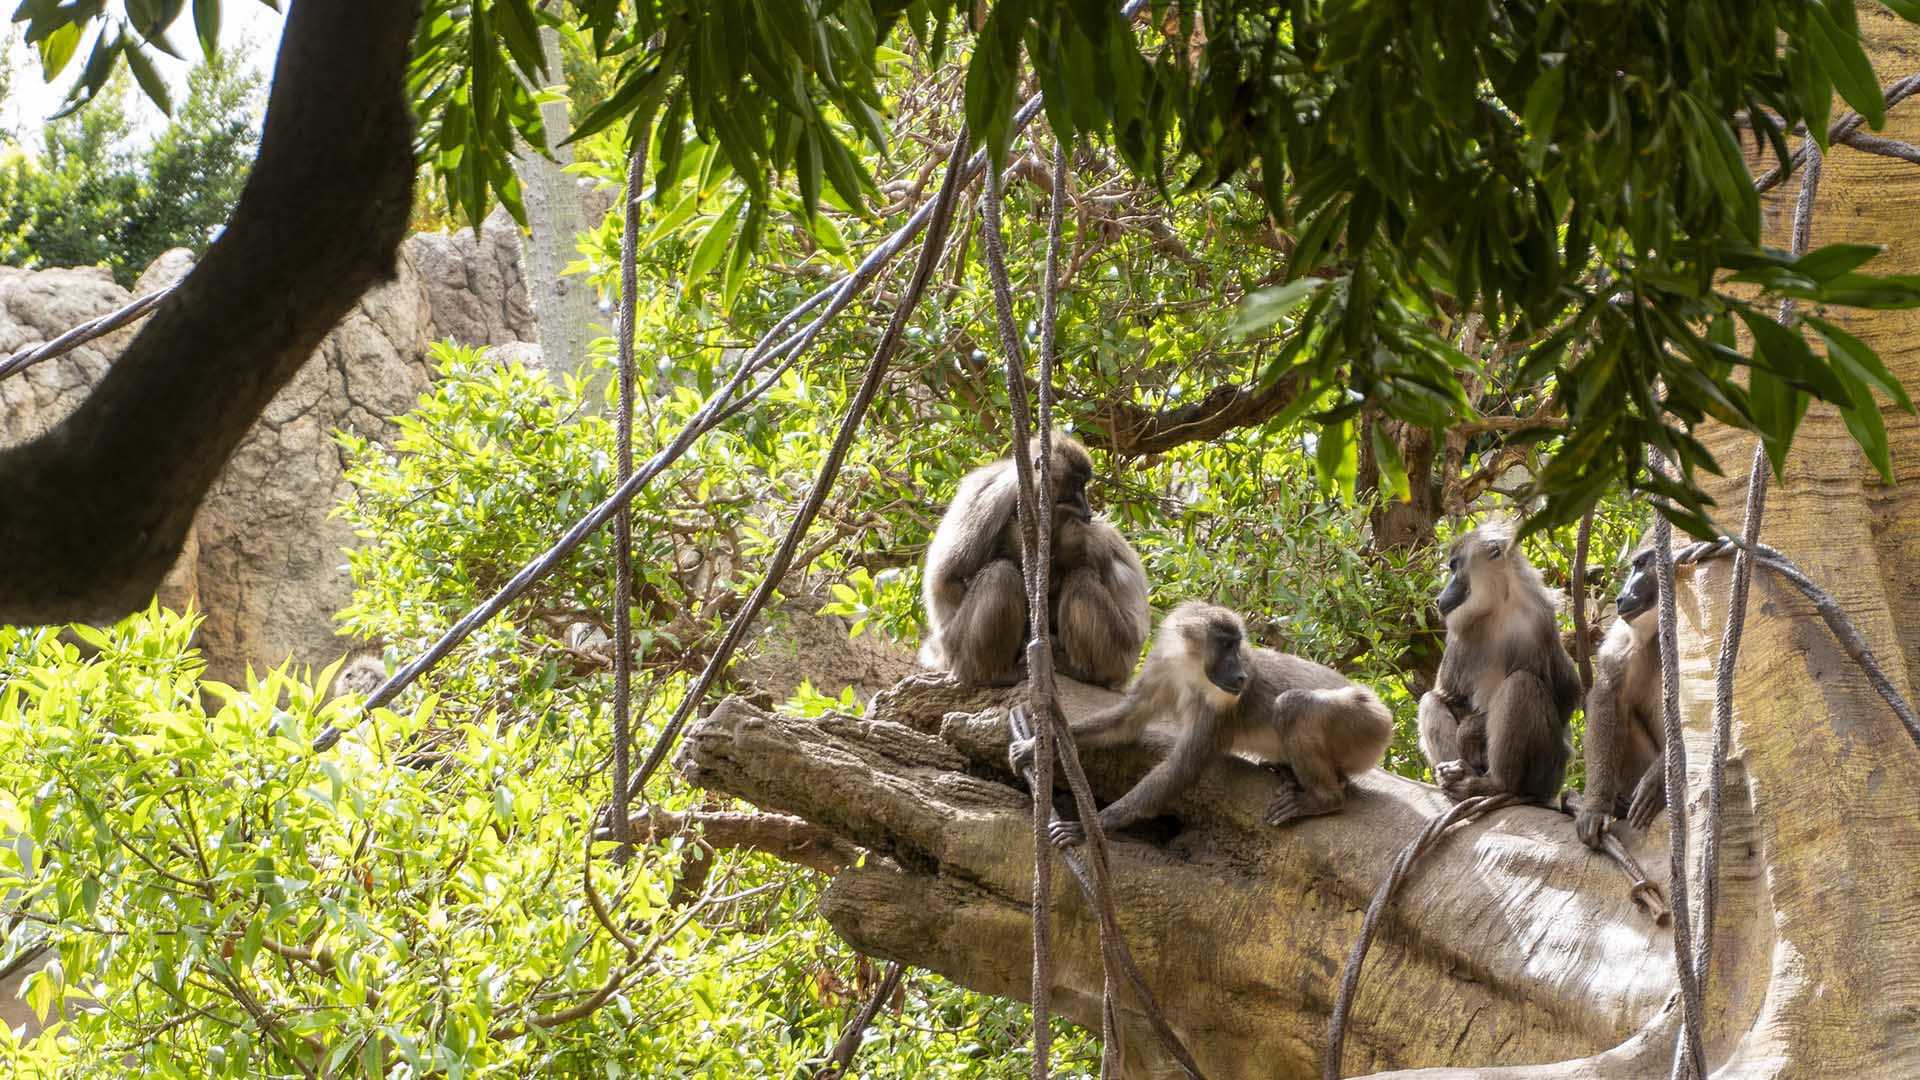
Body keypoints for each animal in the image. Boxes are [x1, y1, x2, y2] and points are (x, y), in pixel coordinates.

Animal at [921, 432, 1144, 684]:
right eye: (1077, 484)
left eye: (1084, 485)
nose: (1087, 509)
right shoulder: (1002, 496)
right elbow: (947, 577)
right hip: (959, 648)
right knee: (1002, 575)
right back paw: (996, 674)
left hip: (1117, 651)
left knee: (1078, 581)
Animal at [1006, 595, 1397, 841]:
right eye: (1226, 645)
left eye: (1238, 646)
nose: (1240, 675)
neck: (1191, 671)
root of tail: (1383, 714)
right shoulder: (1163, 668)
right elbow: (1127, 723)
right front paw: (1034, 746)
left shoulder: (1220, 703)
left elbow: (1184, 767)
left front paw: (1092, 828)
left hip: (1365, 723)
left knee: (1293, 706)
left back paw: (1324, 798)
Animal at [1420, 518, 1582, 803]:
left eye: (1454, 566)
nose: (1440, 597)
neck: (1497, 610)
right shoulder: (1459, 638)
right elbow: (1448, 695)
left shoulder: (1537, 623)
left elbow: (1565, 696)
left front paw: (1469, 731)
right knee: (1431, 699)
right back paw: (1457, 777)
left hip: (1547, 772)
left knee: (1521, 683)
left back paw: (1496, 784)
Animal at [1574, 534, 1666, 845]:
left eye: (1641, 564)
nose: (1621, 597)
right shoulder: (1625, 640)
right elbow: (1608, 697)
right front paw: (1594, 808)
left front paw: (1658, 782)